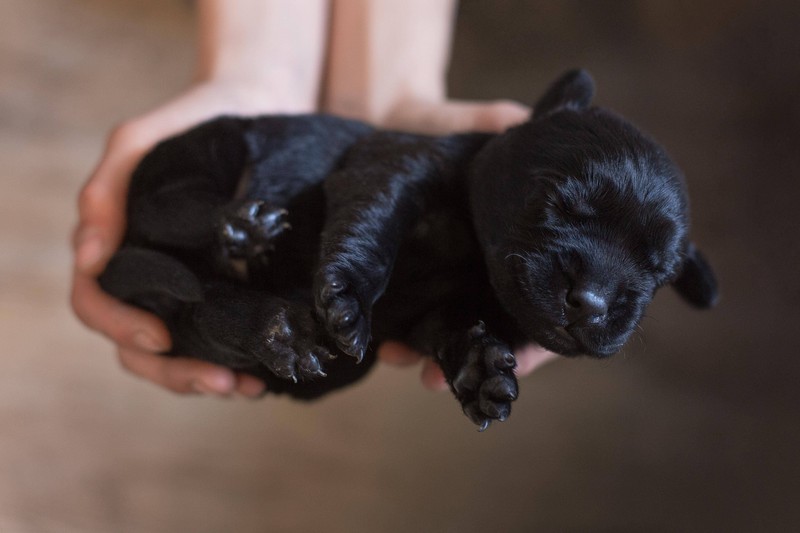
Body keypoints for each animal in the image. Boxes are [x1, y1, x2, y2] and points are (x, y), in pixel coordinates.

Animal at [100, 69, 720, 428]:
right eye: (556, 204)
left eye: (659, 270)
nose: (590, 303)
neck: (474, 259)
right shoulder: (397, 167)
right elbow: (373, 228)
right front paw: (349, 300)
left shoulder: (440, 312)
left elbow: (454, 329)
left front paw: (482, 371)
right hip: (208, 147)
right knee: (172, 205)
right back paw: (240, 226)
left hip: (204, 327)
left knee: (208, 308)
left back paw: (282, 331)